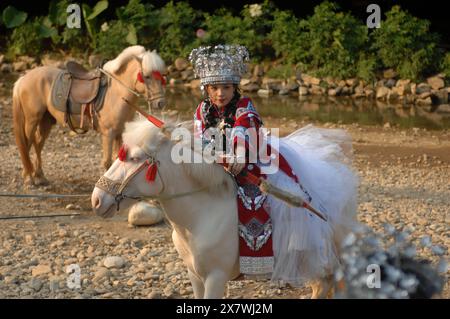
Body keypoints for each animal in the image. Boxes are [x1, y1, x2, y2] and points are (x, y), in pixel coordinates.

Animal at [13, 44, 166, 185]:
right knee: (27, 144)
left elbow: (119, 160)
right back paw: (29, 177)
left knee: (38, 144)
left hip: (46, 121)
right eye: (146, 76)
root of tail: (24, 78)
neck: (117, 93)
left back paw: (40, 176)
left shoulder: (119, 133)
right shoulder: (108, 133)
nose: (160, 103)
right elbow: (107, 162)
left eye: (161, 77)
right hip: (32, 120)